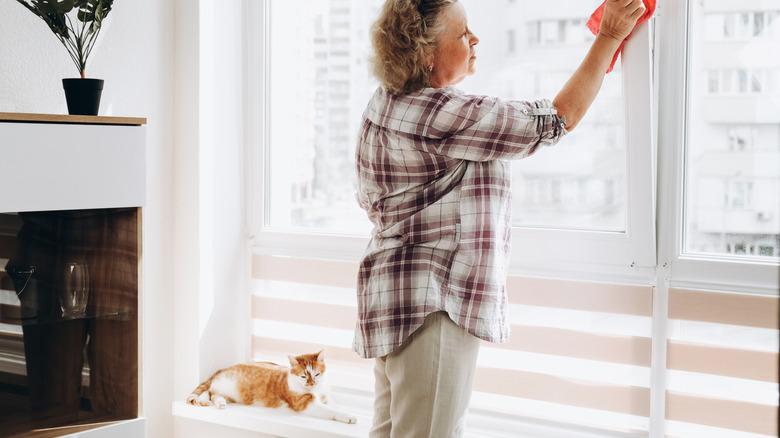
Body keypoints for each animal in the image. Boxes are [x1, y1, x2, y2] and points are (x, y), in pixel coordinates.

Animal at [184, 350, 358, 424]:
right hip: (225, 386)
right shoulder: (306, 404)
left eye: (316, 374)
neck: (316, 390)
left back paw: (219, 402)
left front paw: (345, 411)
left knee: (213, 394)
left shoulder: (325, 398)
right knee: (211, 392)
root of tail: (221, 369)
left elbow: (335, 406)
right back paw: (216, 401)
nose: (311, 383)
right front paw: (348, 416)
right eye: (303, 376)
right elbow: (331, 411)